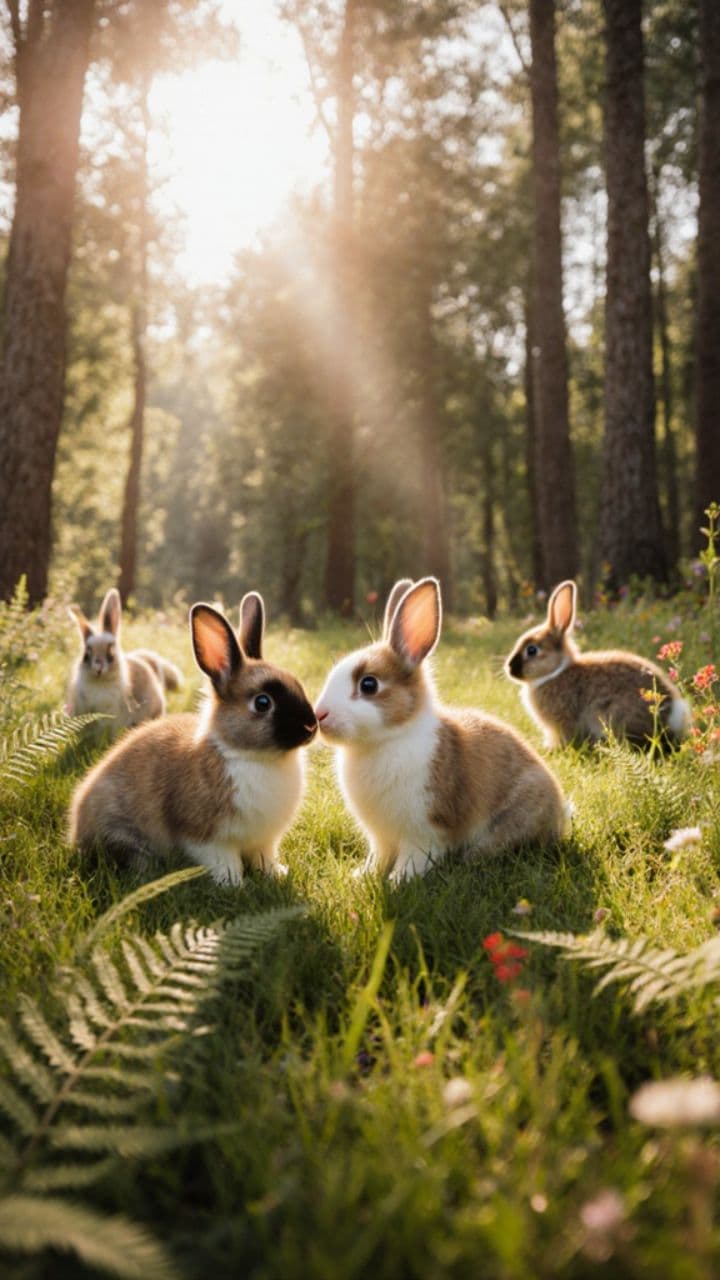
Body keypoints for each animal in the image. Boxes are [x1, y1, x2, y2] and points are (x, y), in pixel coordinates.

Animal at [315, 577, 567, 883]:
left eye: (369, 685)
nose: (319, 715)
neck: (390, 738)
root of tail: (560, 812)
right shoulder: (380, 838)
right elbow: (378, 857)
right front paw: (362, 877)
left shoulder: (424, 830)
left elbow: (415, 858)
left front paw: (399, 881)